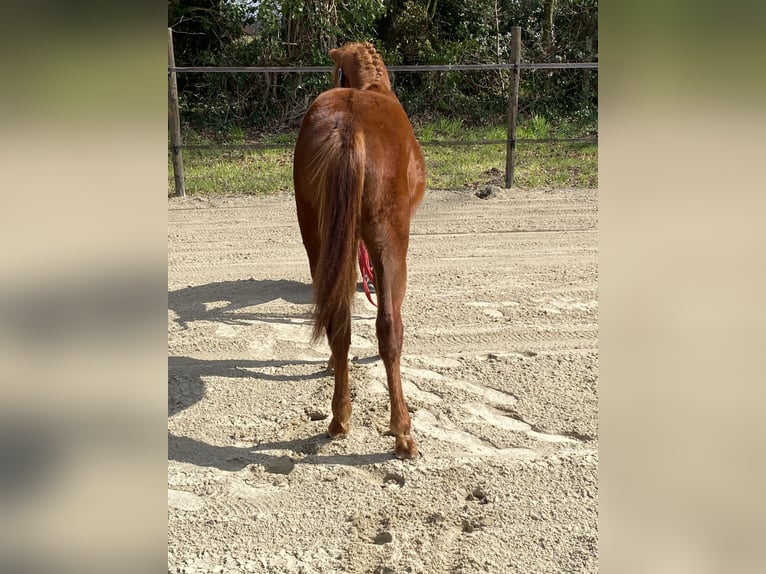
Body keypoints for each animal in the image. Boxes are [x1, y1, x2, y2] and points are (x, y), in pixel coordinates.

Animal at [293, 42, 426, 459]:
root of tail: (349, 127)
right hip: (390, 241)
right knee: (389, 327)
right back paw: (402, 433)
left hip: (318, 239)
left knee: (338, 321)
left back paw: (339, 419)